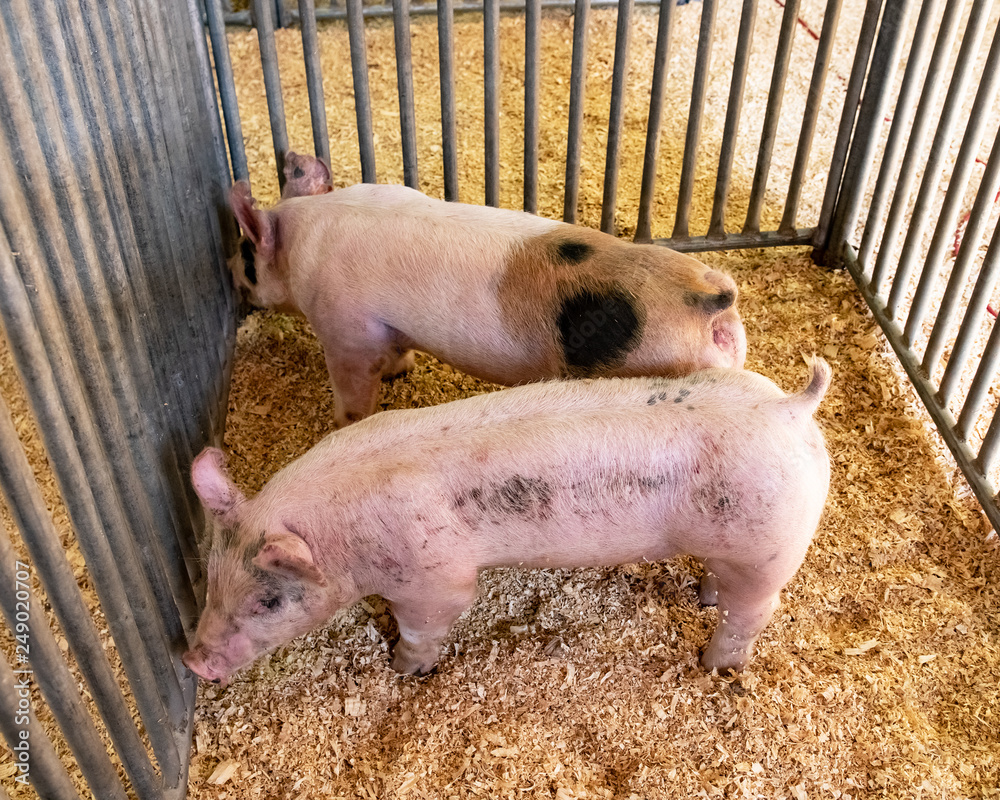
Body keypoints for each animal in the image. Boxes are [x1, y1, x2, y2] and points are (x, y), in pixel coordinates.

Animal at [182, 359, 831, 685]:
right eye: (211, 582)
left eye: (268, 601)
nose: (192, 661)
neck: (343, 539)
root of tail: (789, 406)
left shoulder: (436, 577)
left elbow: (427, 623)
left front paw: (403, 669)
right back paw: (702, 595)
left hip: (768, 550)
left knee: (753, 613)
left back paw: (714, 666)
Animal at [228, 154, 747, 428]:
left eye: (247, 256)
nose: (232, 272)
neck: (303, 241)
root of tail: (709, 299)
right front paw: (401, 372)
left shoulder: (345, 332)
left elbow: (353, 391)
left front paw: (342, 425)